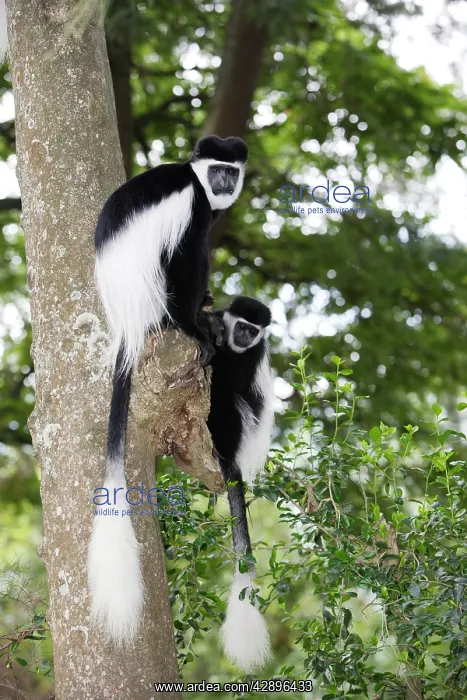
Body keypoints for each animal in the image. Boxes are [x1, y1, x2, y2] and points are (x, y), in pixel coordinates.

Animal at [87, 136, 248, 645]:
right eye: (217, 170)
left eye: (231, 171)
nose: (224, 183)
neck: (195, 179)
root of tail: (127, 322)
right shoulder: (192, 207)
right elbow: (187, 258)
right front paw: (199, 321)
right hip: (156, 292)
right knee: (184, 261)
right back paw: (192, 327)